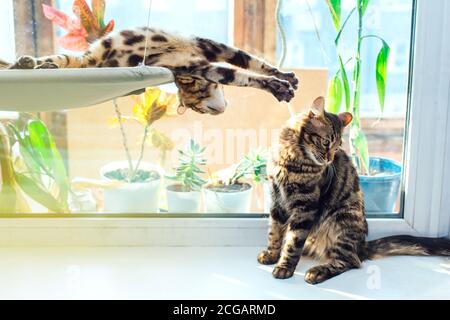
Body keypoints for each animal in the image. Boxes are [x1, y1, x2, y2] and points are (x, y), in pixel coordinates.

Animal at [5, 27, 298, 115]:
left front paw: (282, 76)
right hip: (74, 58)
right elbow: (243, 76)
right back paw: (25, 64)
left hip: (75, 59)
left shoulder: (210, 45)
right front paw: (276, 86)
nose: (217, 111)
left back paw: (29, 65)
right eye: (200, 109)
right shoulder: (201, 63)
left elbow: (250, 60)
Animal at [258, 96, 450, 284]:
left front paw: (284, 267)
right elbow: (274, 233)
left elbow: (293, 242)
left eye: (336, 147)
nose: (329, 159)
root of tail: (361, 245)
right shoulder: (276, 202)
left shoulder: (305, 208)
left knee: (349, 261)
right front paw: (272, 255)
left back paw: (317, 272)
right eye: (326, 142)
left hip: (342, 219)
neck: (290, 160)